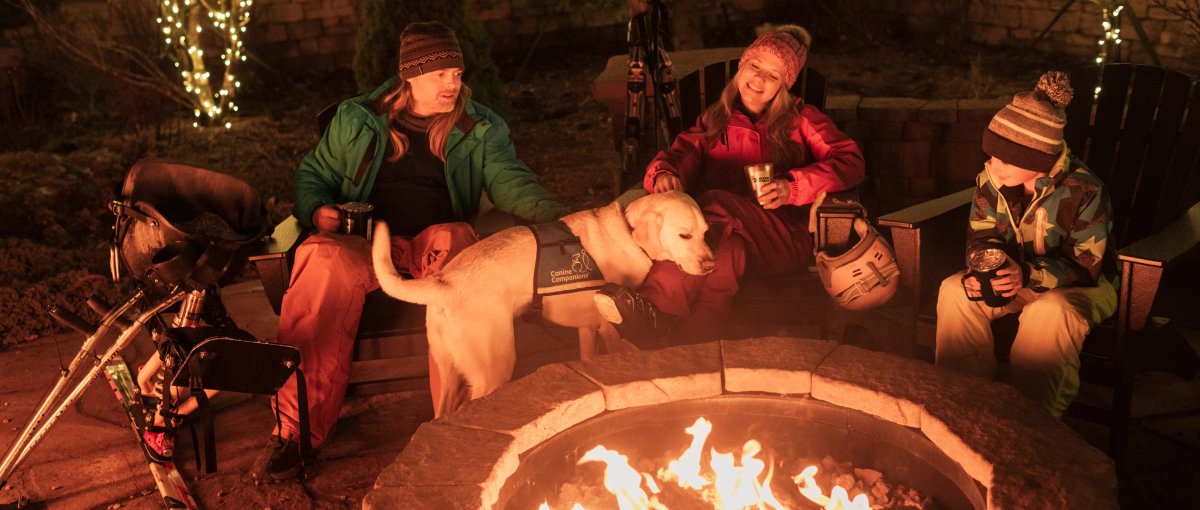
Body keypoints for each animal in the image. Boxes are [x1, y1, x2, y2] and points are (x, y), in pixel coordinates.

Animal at [372, 188, 710, 415]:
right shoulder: (609, 329)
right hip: (493, 368)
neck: (628, 232)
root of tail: (444, 281)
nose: (711, 264)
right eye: (684, 235)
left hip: (449, 372)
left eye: (705, 232)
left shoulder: (587, 329)